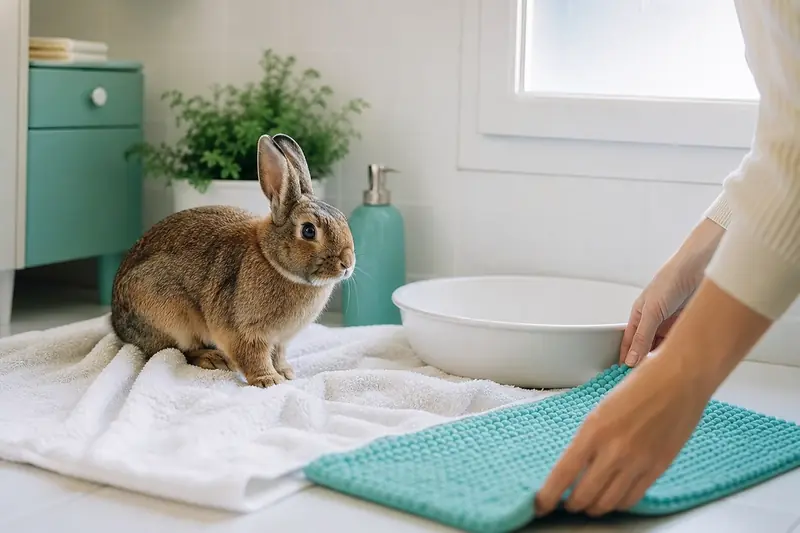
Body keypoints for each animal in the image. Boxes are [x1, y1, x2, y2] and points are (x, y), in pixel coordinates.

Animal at [110, 133, 355, 387]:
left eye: (341, 218)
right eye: (308, 231)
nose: (347, 263)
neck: (270, 258)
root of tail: (118, 326)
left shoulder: (280, 340)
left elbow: (278, 354)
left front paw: (286, 373)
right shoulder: (243, 331)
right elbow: (253, 356)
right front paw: (269, 380)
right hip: (172, 317)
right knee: (173, 351)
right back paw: (213, 358)